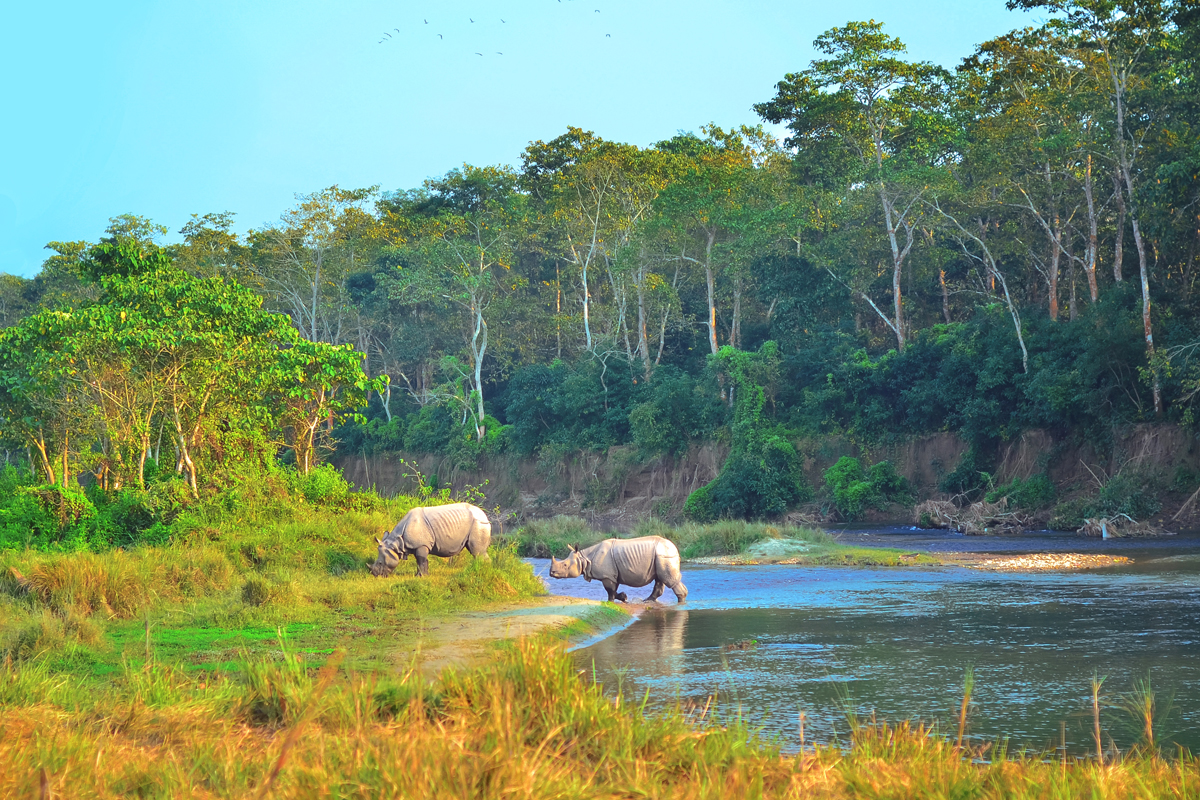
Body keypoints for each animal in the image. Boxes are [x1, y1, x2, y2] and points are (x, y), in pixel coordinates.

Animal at [549, 537, 691, 599]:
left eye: (565, 565)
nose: (551, 573)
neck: (584, 558)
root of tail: (675, 548)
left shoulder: (607, 576)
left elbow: (610, 591)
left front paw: (617, 600)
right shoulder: (613, 575)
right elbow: (613, 589)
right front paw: (623, 597)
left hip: (664, 555)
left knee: (669, 580)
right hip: (661, 556)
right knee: (660, 579)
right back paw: (647, 601)